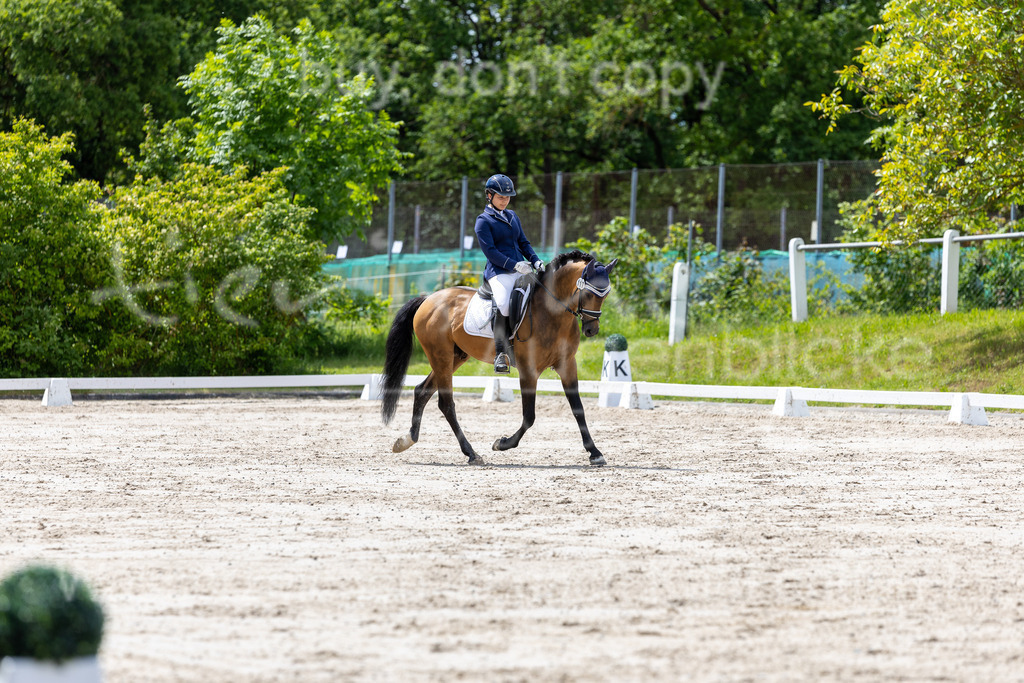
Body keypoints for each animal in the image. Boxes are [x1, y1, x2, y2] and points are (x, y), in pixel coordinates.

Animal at [382, 248, 614, 466]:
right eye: (590, 294)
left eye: (605, 295)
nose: (592, 330)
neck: (552, 313)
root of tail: (428, 299)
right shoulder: (528, 370)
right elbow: (529, 416)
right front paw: (502, 443)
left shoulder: (567, 365)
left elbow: (578, 409)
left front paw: (595, 453)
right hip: (441, 356)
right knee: (446, 404)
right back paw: (471, 453)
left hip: (455, 357)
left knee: (423, 391)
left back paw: (407, 440)